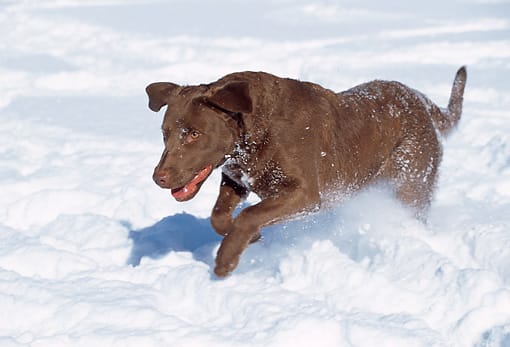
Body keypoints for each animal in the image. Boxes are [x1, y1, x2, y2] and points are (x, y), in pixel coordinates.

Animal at [146, 67, 466, 278]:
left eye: (194, 134)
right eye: (164, 134)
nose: (158, 177)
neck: (253, 134)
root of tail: (420, 99)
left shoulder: (305, 194)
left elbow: (248, 215)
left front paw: (226, 260)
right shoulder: (236, 178)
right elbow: (220, 216)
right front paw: (251, 238)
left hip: (411, 183)